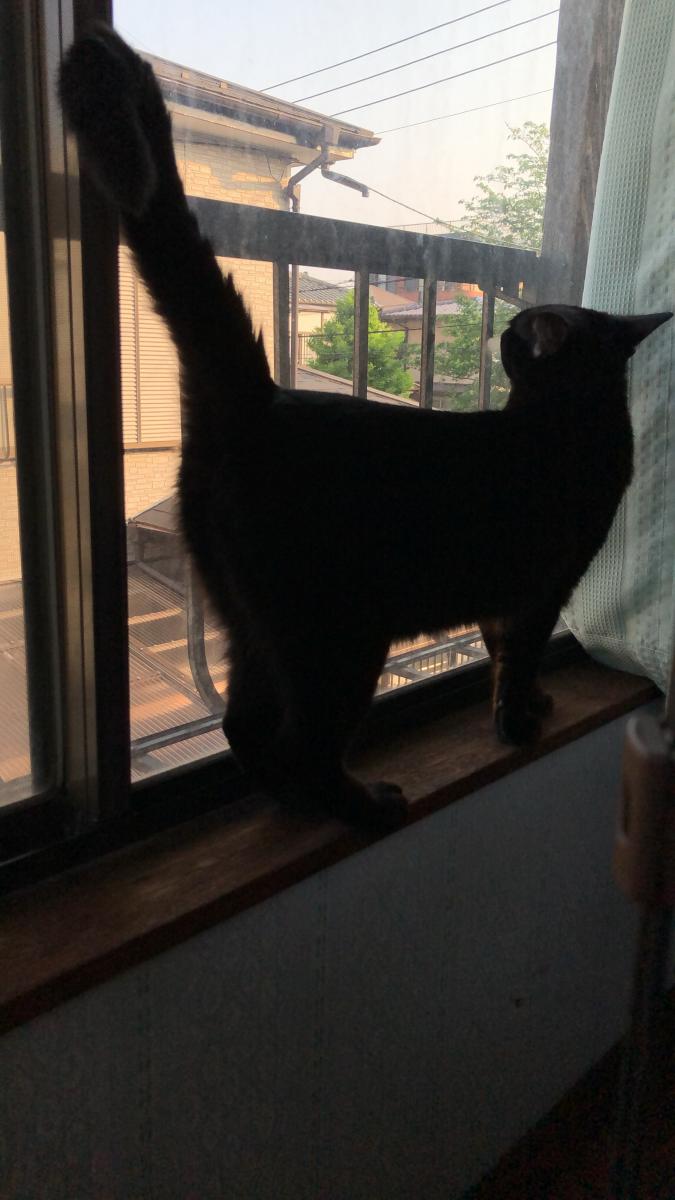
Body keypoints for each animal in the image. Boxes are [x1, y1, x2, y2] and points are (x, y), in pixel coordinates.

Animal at [59, 27, 671, 829]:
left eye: (514, 337)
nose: (502, 329)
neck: (572, 422)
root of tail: (262, 396)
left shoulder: (516, 593)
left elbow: (502, 652)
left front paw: (528, 705)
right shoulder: (543, 586)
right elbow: (517, 654)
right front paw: (516, 720)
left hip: (259, 622)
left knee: (245, 725)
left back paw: (293, 803)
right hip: (339, 634)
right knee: (304, 742)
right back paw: (361, 805)